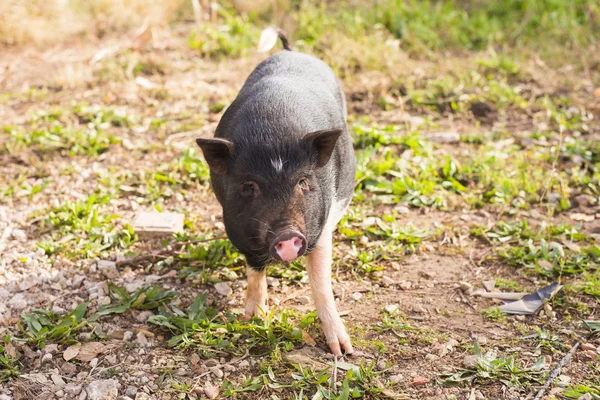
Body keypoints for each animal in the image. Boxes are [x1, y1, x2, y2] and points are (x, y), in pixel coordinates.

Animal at [197, 29, 356, 354]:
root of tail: (291, 51)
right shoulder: (238, 229)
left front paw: (342, 350)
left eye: (303, 182)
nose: (287, 235)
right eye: (249, 186)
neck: (272, 134)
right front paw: (253, 318)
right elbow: (255, 268)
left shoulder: (319, 225)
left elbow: (321, 280)